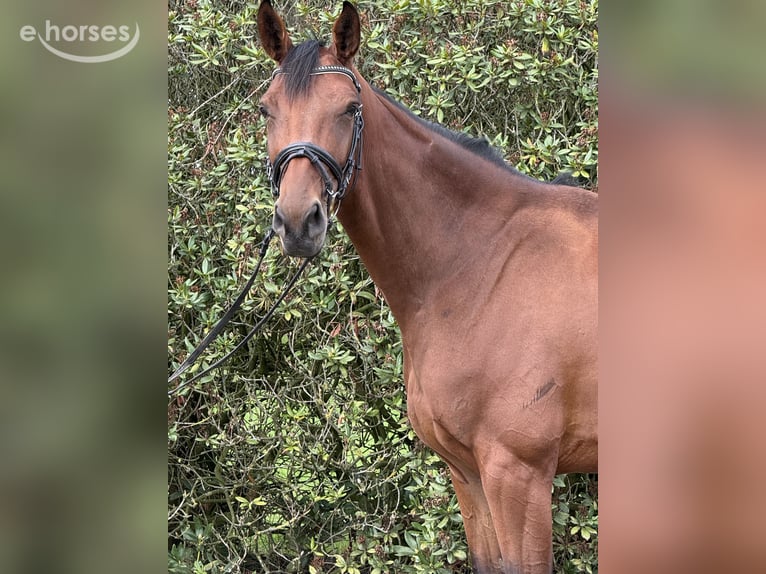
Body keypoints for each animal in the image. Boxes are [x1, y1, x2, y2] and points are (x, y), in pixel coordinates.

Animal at [256, 2, 597, 572]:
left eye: (349, 108)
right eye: (266, 110)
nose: (299, 222)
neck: (478, 263)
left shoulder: (519, 475)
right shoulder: (469, 473)